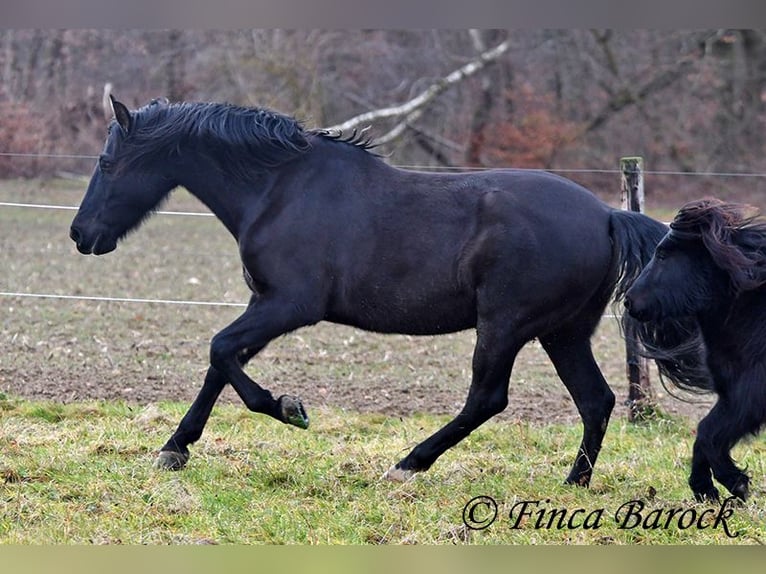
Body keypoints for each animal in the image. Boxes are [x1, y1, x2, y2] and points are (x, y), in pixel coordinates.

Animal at [72, 97, 688, 488]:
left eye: (107, 161)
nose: (81, 234)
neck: (279, 189)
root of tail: (607, 215)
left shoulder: (290, 305)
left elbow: (221, 352)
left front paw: (289, 409)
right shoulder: (265, 304)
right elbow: (220, 363)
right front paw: (174, 449)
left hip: (507, 325)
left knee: (488, 399)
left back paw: (407, 466)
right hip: (562, 331)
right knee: (595, 400)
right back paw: (573, 483)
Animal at [632, 199, 766, 504]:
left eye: (663, 255)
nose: (629, 301)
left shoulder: (749, 395)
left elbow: (708, 434)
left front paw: (734, 483)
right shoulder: (732, 396)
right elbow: (704, 434)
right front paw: (705, 488)